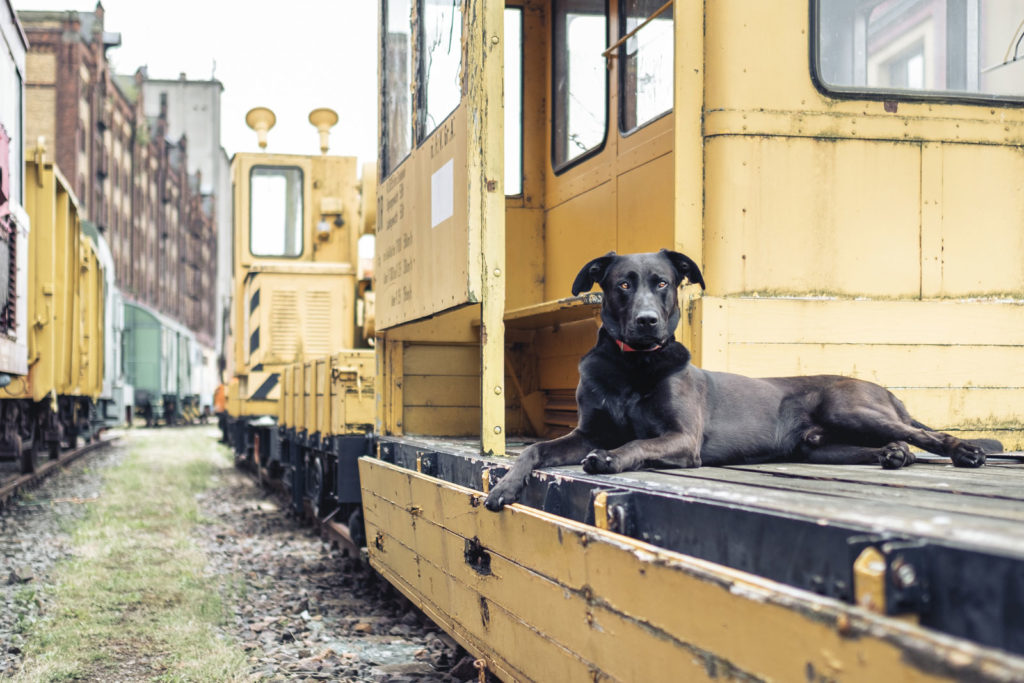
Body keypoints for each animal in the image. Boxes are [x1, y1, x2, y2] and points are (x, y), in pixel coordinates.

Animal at [483, 248, 1003, 509]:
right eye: (623, 284)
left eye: (663, 283)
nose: (648, 322)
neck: (634, 365)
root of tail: (884, 389)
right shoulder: (586, 431)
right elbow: (533, 449)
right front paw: (505, 486)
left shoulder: (682, 438)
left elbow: (636, 443)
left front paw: (610, 460)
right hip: (816, 446)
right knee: (887, 445)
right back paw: (893, 455)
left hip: (849, 407)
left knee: (926, 434)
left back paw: (964, 452)